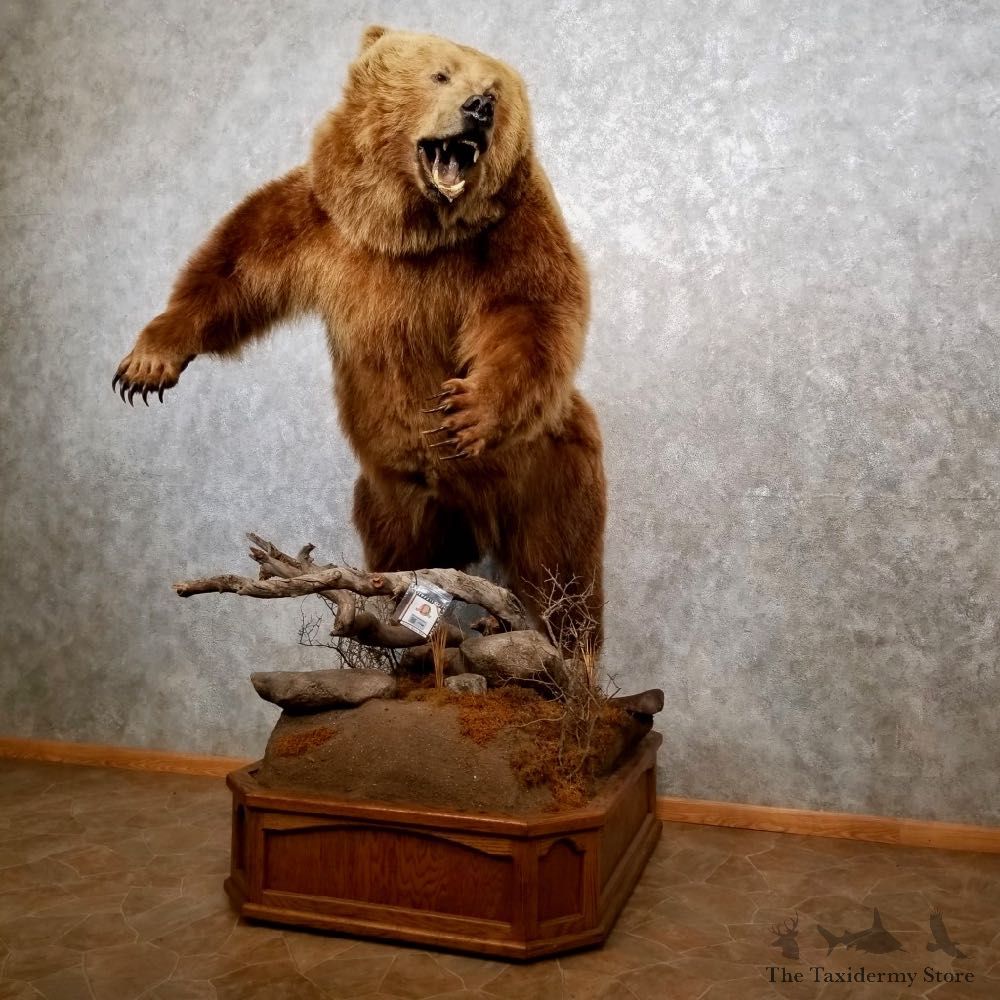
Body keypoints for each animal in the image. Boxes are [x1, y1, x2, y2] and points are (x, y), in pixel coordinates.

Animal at [113, 27, 606, 648]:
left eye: (496, 89)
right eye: (441, 74)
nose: (480, 108)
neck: (413, 230)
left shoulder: (511, 232)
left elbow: (531, 311)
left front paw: (466, 411)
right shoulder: (325, 217)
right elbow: (236, 266)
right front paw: (147, 363)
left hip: (548, 474)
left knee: (563, 574)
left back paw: (563, 648)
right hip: (392, 499)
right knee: (399, 558)